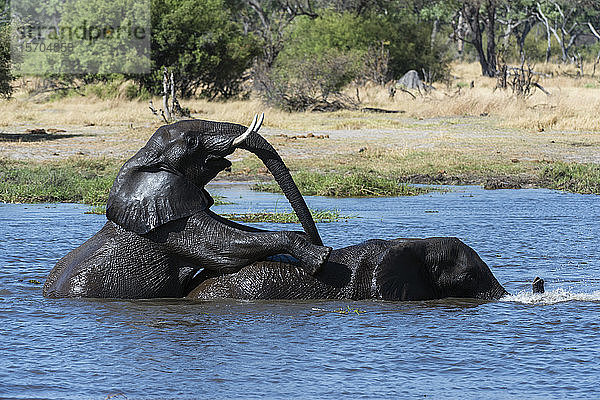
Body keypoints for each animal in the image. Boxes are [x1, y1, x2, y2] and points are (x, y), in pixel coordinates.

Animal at [44, 114, 330, 298]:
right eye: (192, 142)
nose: (318, 239)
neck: (145, 159)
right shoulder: (175, 229)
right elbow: (226, 249)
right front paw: (319, 256)